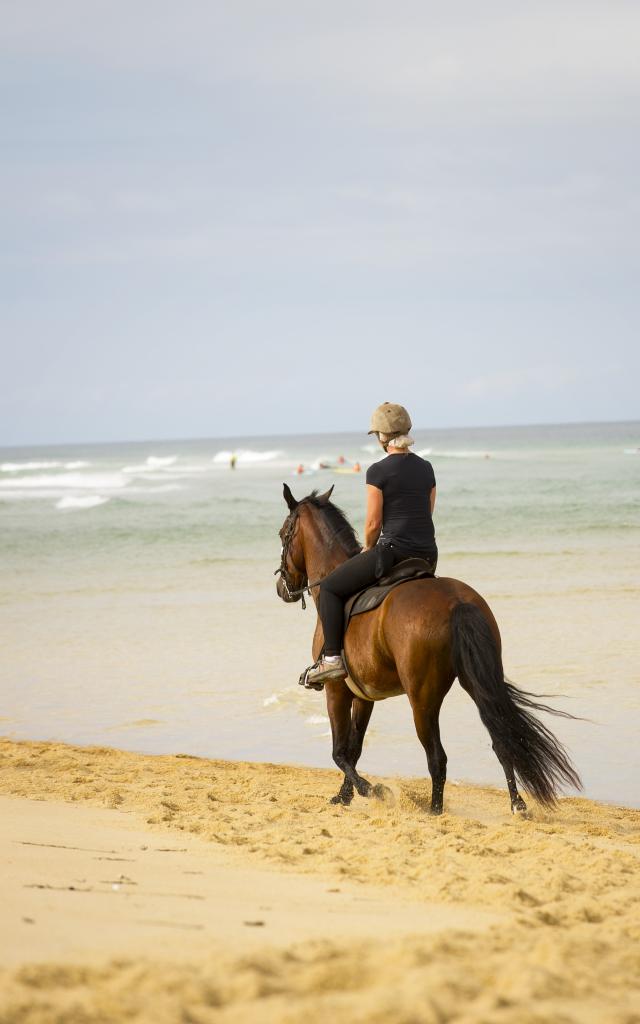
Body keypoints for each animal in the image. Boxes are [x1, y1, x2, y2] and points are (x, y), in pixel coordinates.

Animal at [274, 481, 577, 815]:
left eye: (283, 533)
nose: (281, 588)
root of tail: (457, 602)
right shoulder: (364, 696)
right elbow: (354, 749)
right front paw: (344, 796)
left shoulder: (336, 690)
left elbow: (339, 752)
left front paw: (370, 790)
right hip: (477, 684)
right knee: (502, 740)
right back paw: (517, 805)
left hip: (422, 699)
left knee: (437, 757)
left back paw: (435, 810)